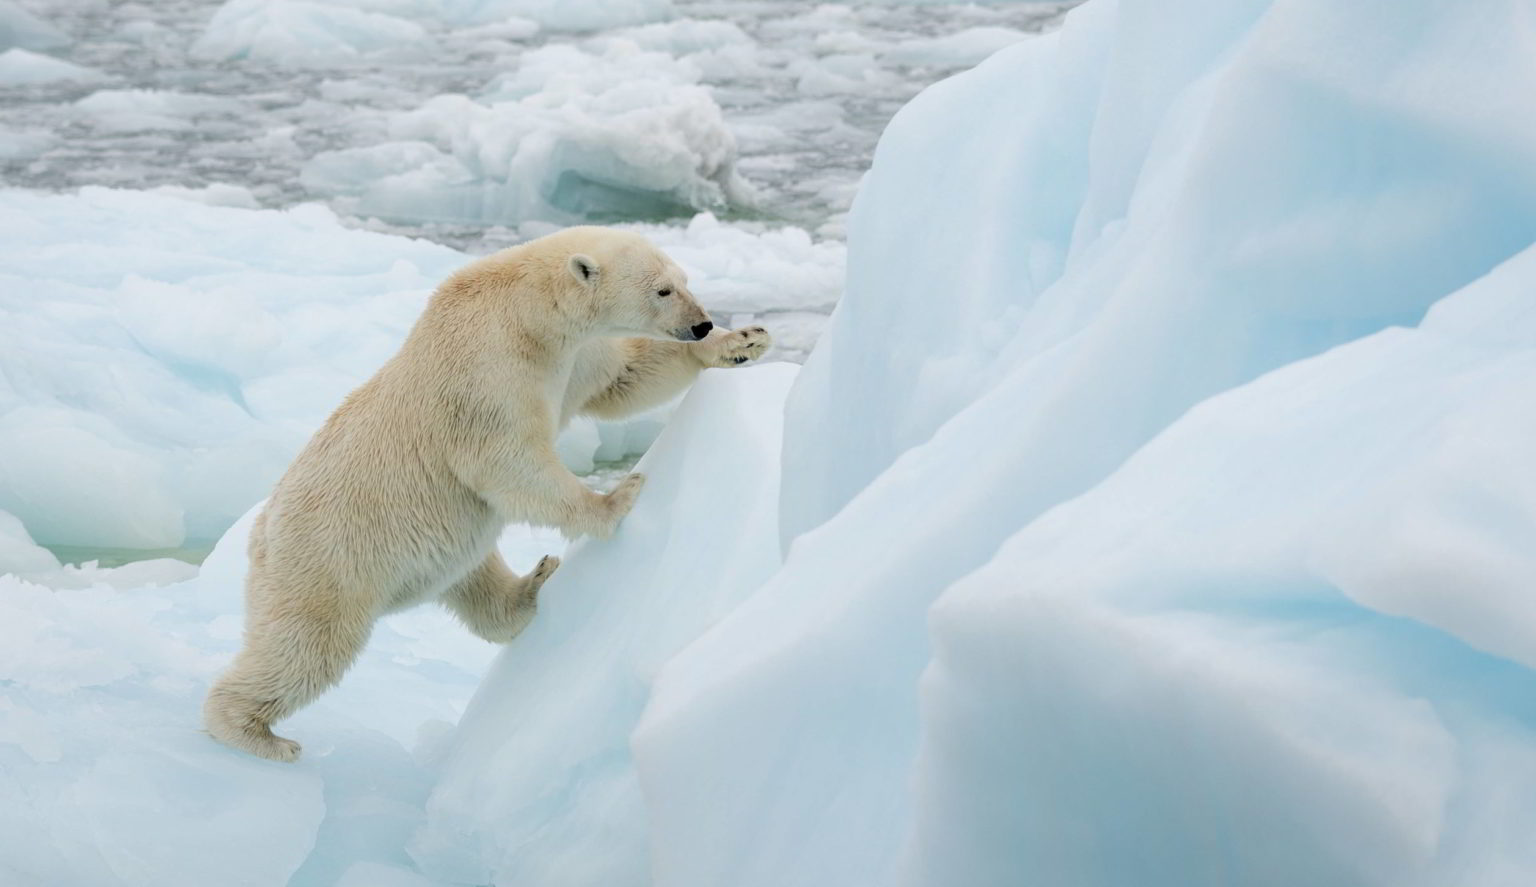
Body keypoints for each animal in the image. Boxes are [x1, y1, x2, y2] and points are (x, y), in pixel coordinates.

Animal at [204, 227, 774, 762]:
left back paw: (534, 582)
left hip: (434, 553)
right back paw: (253, 733)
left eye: (684, 279)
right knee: (307, 647)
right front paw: (615, 499)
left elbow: (622, 378)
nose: (701, 323)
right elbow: (504, 458)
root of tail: (260, 533)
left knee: (476, 581)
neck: (526, 314)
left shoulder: (571, 358)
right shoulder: (487, 370)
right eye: (662, 290)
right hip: (327, 562)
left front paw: (744, 340)